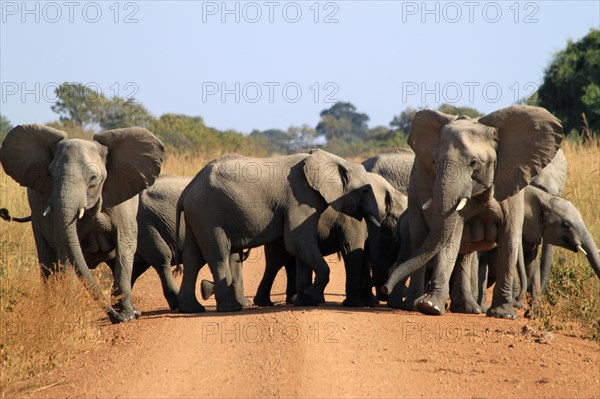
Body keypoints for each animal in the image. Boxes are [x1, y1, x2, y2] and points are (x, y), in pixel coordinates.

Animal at [0, 123, 164, 324]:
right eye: (51, 174)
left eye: (93, 178)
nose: (114, 317)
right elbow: (66, 250)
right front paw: (67, 313)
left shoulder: (122, 201)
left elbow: (125, 245)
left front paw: (127, 317)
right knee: (47, 261)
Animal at [178, 149, 382, 312]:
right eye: (365, 191)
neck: (334, 160)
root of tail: (187, 190)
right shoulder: (300, 197)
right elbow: (298, 242)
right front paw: (311, 295)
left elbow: (301, 247)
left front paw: (305, 300)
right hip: (208, 213)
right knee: (217, 254)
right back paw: (230, 308)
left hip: (197, 215)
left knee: (192, 258)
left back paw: (192, 308)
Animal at [380, 105, 564, 318]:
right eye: (434, 162)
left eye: (474, 162)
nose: (384, 288)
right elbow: (450, 238)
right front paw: (431, 308)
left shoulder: (511, 181)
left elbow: (509, 238)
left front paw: (503, 314)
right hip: (414, 193)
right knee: (421, 240)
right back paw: (413, 305)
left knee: (464, 253)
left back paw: (467, 309)